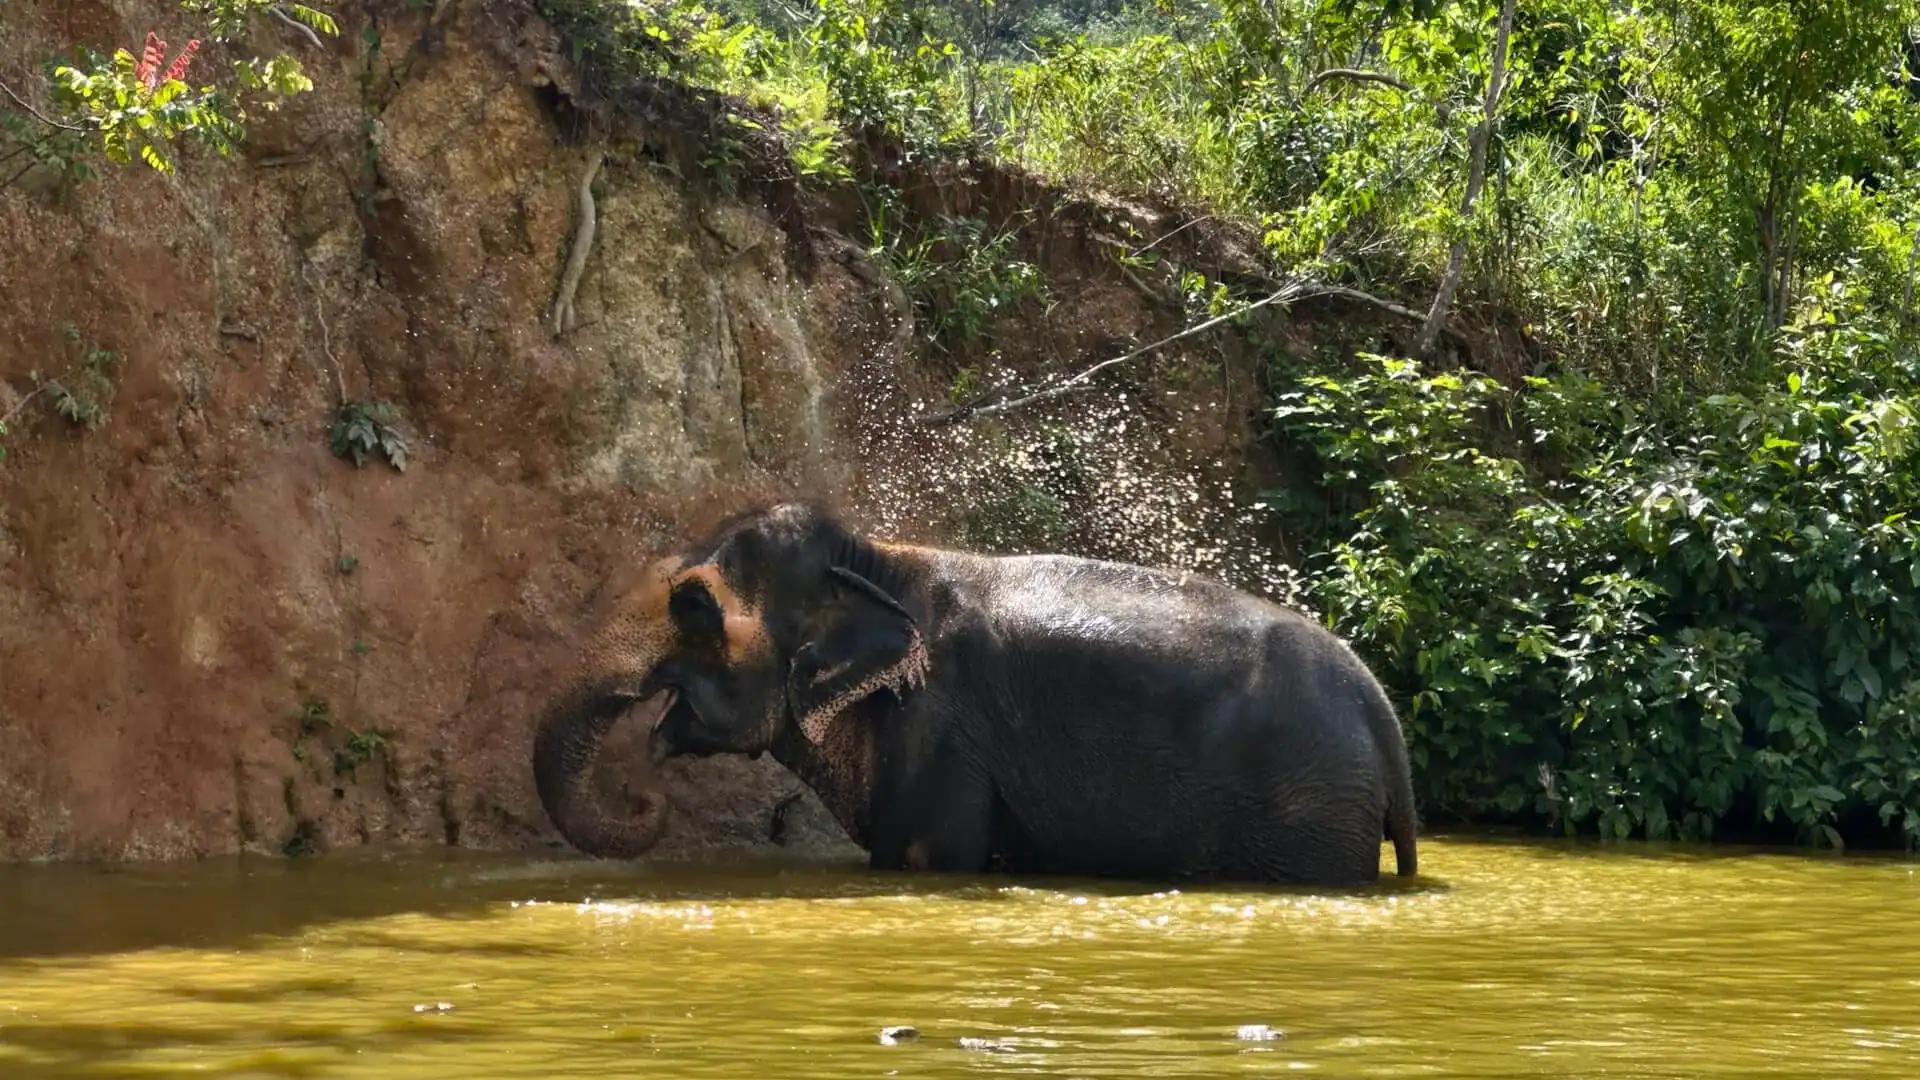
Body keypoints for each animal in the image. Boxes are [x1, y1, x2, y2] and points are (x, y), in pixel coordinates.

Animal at [532, 501, 1418, 886]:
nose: (646, 793)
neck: (877, 562)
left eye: (691, 607)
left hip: (1311, 813)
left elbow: (926, 854)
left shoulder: (940, 728)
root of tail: (1382, 708)